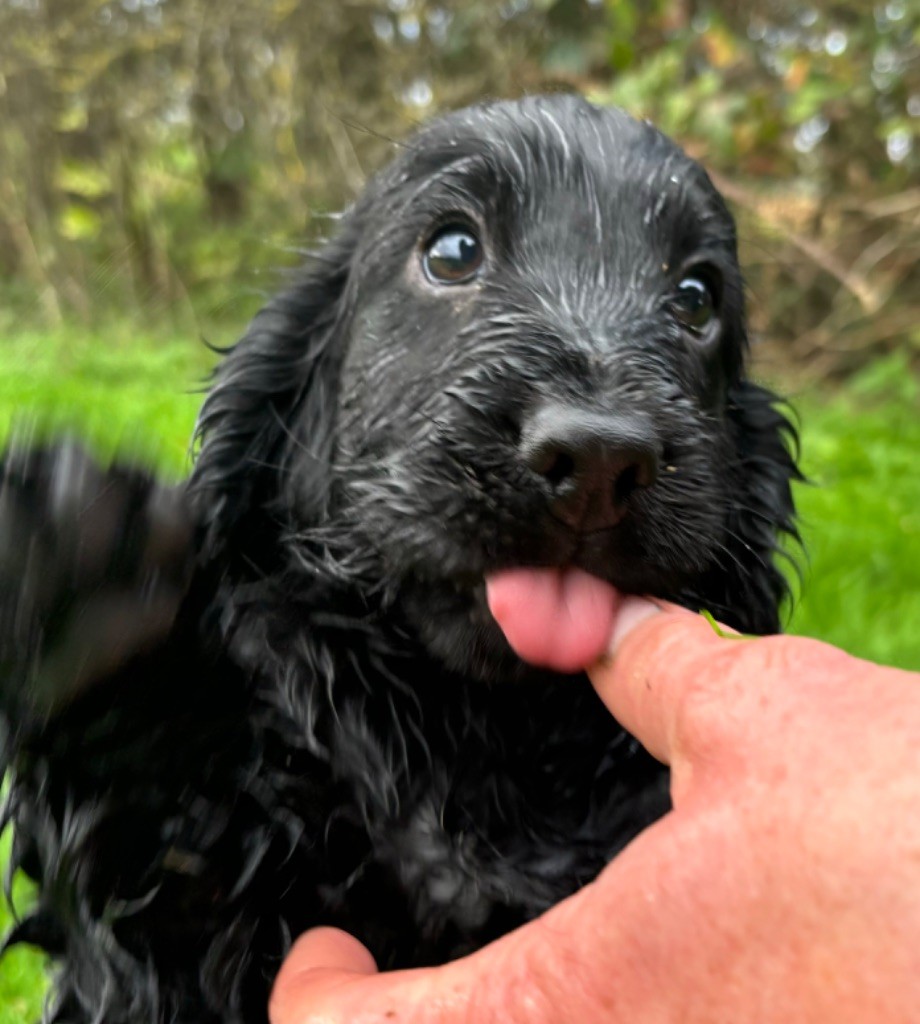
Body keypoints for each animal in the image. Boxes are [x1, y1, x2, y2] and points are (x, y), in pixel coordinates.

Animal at [0, 97, 795, 1024]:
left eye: (696, 298)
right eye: (452, 249)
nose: (599, 460)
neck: (485, 738)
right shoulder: (171, 946)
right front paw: (89, 590)